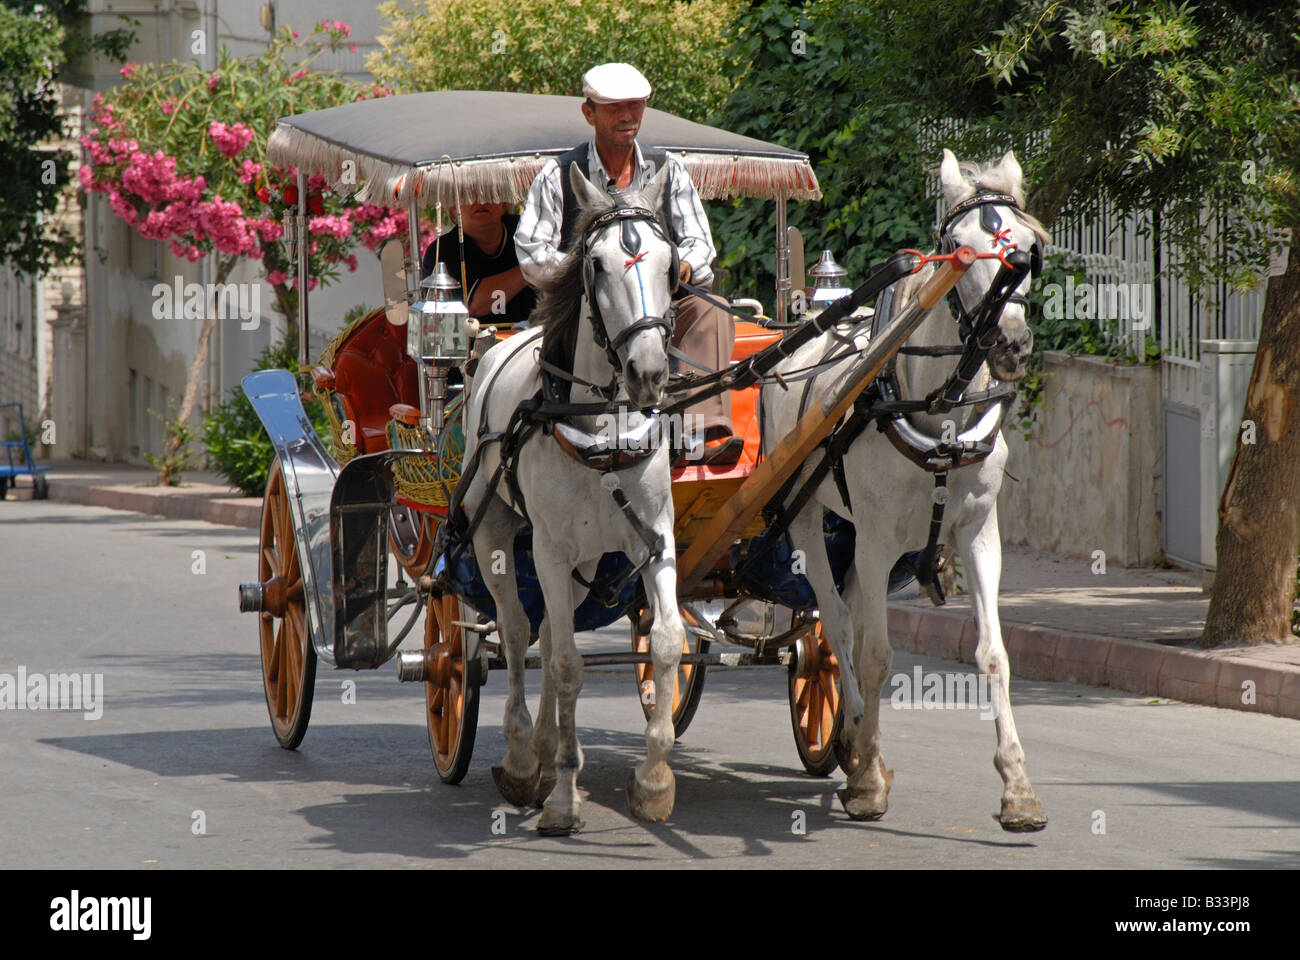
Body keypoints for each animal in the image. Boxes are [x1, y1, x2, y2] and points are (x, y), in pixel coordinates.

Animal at [460, 164, 691, 832]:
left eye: (670, 263)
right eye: (596, 263)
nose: (648, 373)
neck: (598, 424)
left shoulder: (654, 540)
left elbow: (666, 641)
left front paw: (654, 778)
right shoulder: (551, 551)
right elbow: (564, 665)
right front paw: (562, 794)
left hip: (588, 559)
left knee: (547, 631)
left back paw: (542, 748)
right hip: (496, 534)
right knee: (517, 632)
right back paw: (522, 756)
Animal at [759, 149, 1055, 832]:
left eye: (1026, 247)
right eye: (958, 247)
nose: (1012, 345)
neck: (935, 408)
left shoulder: (978, 532)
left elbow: (994, 654)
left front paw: (1018, 788)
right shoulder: (873, 537)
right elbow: (873, 653)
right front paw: (868, 780)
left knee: (843, 617)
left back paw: (852, 741)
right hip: (810, 522)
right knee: (837, 624)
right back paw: (857, 746)